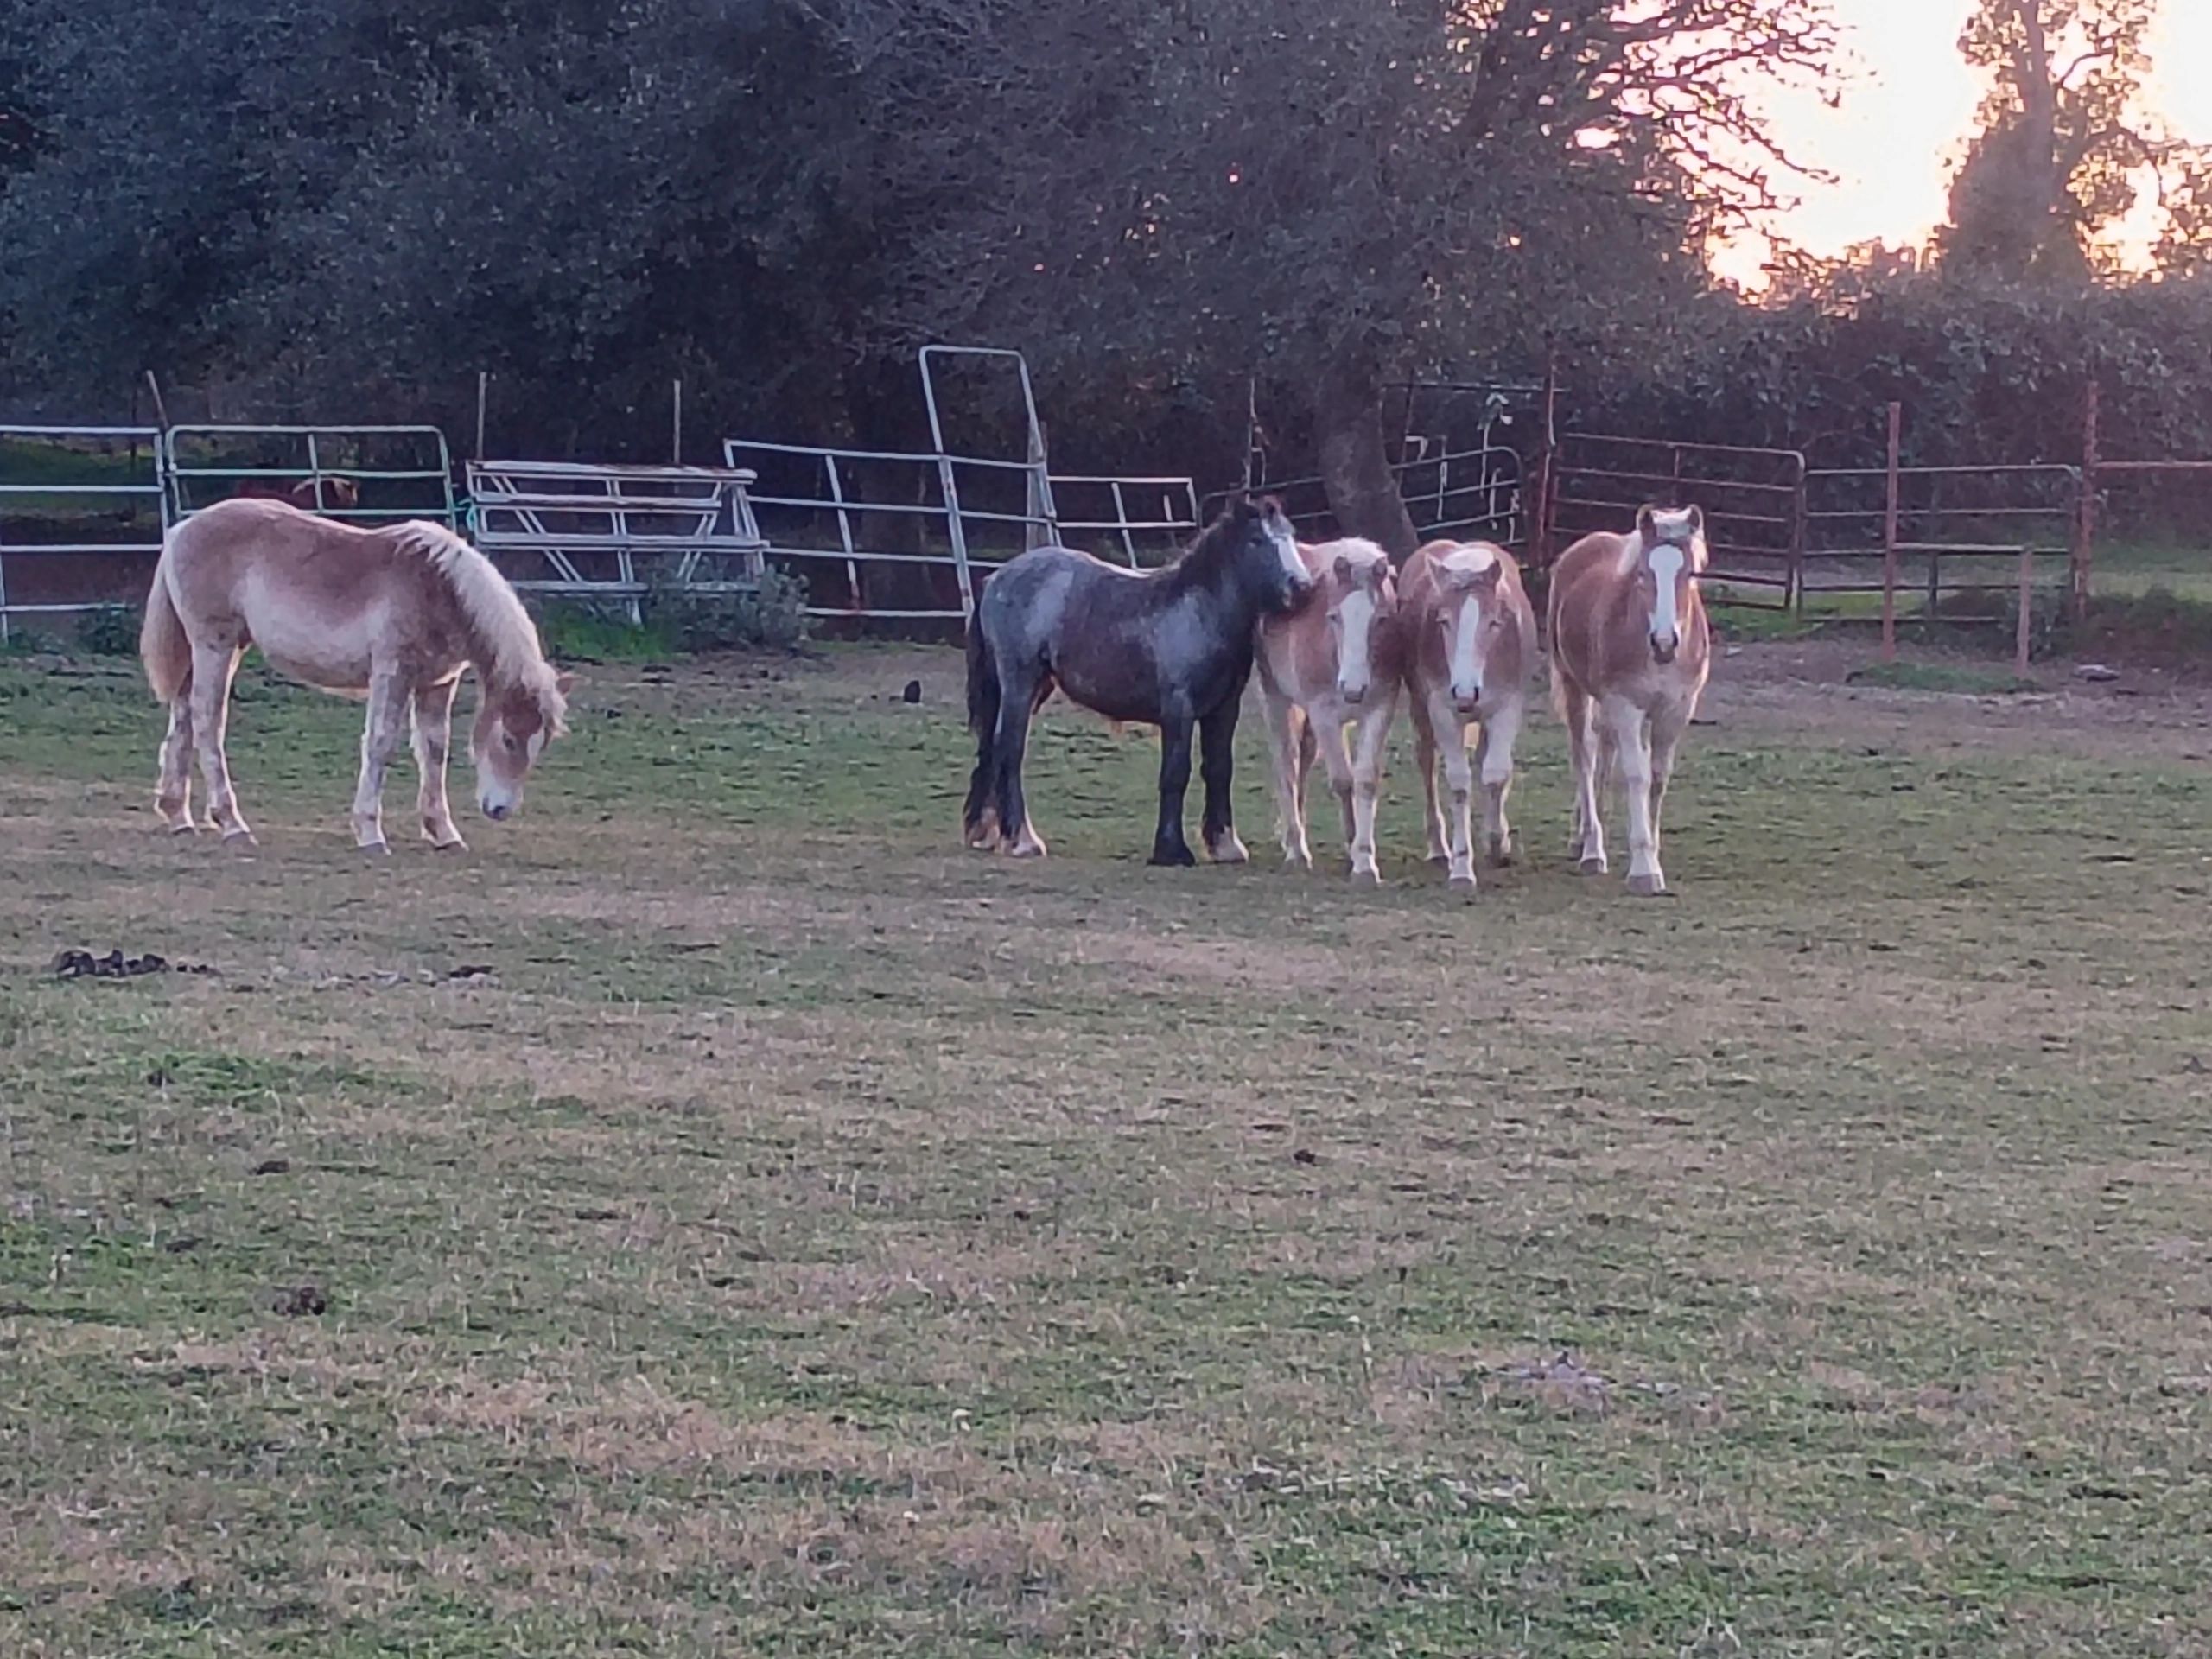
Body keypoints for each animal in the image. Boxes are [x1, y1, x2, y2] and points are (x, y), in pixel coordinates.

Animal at [138, 497, 572, 852]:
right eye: (509, 738)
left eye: (541, 743)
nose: (500, 809)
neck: (437, 587)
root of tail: (182, 529)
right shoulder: (392, 671)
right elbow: (380, 744)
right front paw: (369, 833)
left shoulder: (436, 684)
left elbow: (434, 751)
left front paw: (443, 833)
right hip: (215, 645)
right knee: (207, 722)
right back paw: (232, 824)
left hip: (213, 650)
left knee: (184, 717)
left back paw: (179, 817)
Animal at [963, 496, 1311, 866]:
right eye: (1257, 540)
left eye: (1290, 535)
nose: (1303, 588)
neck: (1200, 612)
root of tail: (997, 578)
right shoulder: (1178, 708)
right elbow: (1176, 773)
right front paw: (1172, 850)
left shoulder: (1223, 709)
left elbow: (1219, 769)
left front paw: (1226, 845)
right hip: (1020, 683)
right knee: (1009, 751)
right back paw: (1024, 840)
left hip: (1035, 686)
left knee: (994, 750)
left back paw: (989, 833)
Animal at [1254, 537, 1401, 881]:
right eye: (1334, 617)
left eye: (1381, 619)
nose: (1353, 688)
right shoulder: (1323, 713)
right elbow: (1343, 781)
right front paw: (1353, 847)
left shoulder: (1381, 708)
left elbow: (1365, 780)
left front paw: (1364, 859)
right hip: (1275, 697)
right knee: (1287, 764)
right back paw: (1296, 850)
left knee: (1304, 759)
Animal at [1398, 538, 1539, 888]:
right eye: (1443, 621)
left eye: (1493, 622)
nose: (1464, 692)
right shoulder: (1441, 708)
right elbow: (1459, 783)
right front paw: (1462, 867)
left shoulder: (1507, 706)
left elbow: (1495, 773)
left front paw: (1497, 842)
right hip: (1421, 706)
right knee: (1427, 761)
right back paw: (1438, 848)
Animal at [1547, 502, 1712, 897]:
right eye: (1642, 573)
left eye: (1690, 572)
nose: (1665, 642)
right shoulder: (1626, 706)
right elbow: (1637, 776)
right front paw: (1644, 869)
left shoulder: (1675, 710)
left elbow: (1658, 776)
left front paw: (1651, 848)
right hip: (1576, 688)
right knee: (1585, 758)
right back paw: (1591, 849)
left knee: (1603, 752)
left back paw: (1583, 835)